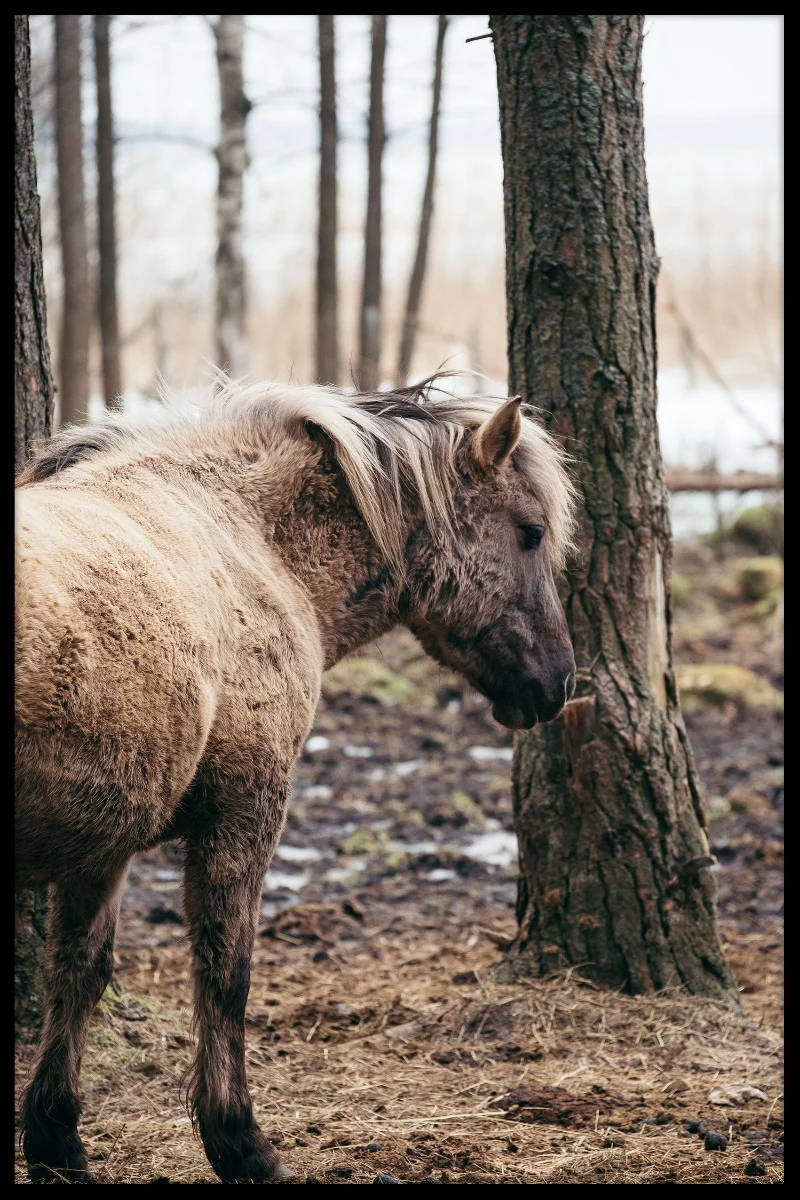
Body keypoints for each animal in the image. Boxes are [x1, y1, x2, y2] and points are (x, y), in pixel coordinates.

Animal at [15, 374, 577, 1183]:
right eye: (530, 531)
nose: (559, 683)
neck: (248, 539)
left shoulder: (105, 842)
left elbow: (78, 972)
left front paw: (58, 1144)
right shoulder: (243, 812)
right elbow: (226, 971)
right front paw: (240, 1143)